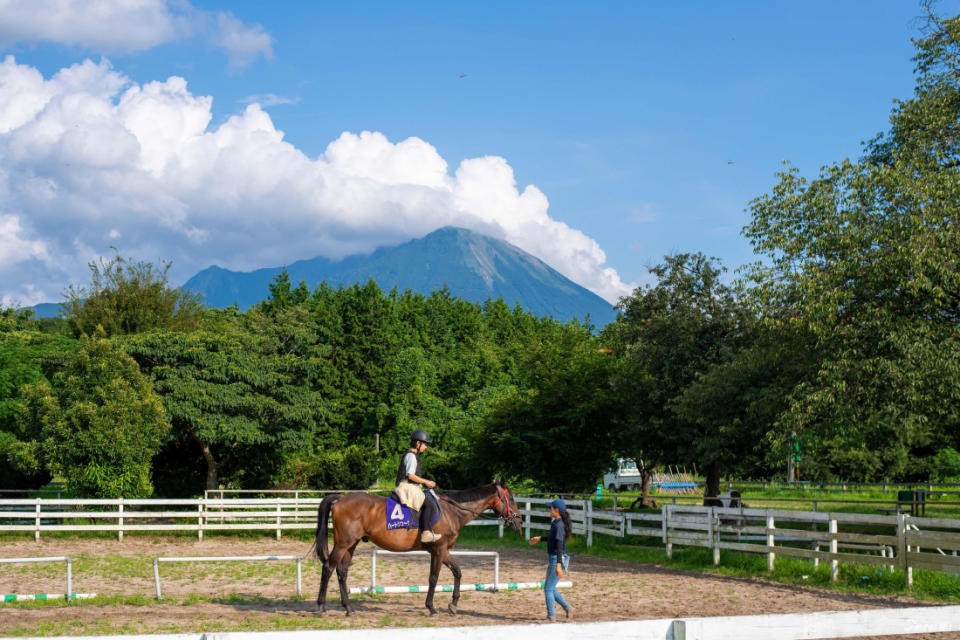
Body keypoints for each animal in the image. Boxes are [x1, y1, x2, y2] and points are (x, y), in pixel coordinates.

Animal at [314, 480, 524, 616]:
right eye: (511, 498)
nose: (519, 521)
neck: (452, 511)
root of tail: (340, 499)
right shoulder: (439, 550)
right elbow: (433, 578)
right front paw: (431, 607)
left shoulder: (442, 551)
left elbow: (457, 572)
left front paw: (453, 605)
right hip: (343, 543)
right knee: (328, 568)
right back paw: (322, 607)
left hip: (351, 544)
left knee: (341, 571)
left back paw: (349, 608)